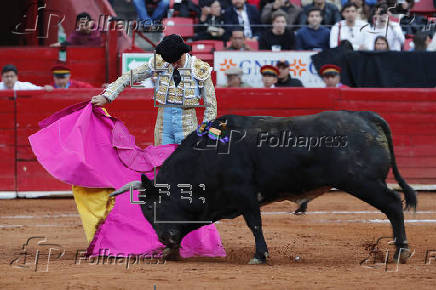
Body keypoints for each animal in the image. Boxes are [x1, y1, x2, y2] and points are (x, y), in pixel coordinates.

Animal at [111, 111, 416, 266]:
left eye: (154, 205)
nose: (164, 239)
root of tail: (365, 116)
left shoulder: (244, 194)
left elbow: (254, 224)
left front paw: (259, 255)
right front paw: (169, 253)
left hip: (363, 182)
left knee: (392, 205)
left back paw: (401, 251)